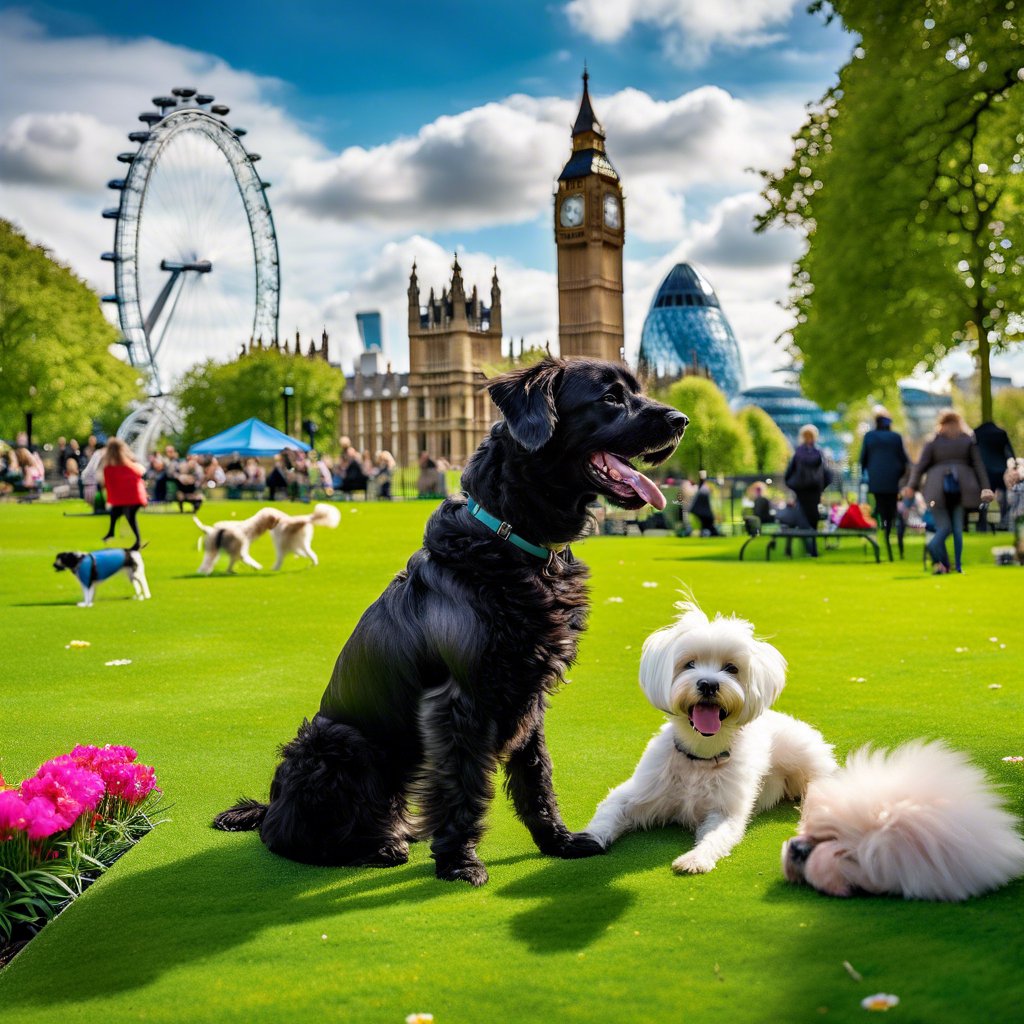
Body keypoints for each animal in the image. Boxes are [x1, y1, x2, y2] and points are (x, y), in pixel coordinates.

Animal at [195, 503, 344, 577]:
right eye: (275, 519)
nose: (280, 519)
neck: (247, 529)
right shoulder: (239, 550)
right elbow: (242, 559)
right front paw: (255, 567)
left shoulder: (237, 551)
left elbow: (235, 561)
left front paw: (232, 571)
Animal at [212, 356, 688, 884]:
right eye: (609, 397)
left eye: (636, 390)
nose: (682, 420)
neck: (512, 542)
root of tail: (271, 804)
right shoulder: (459, 701)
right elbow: (465, 787)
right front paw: (460, 861)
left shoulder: (530, 696)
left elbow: (535, 776)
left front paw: (557, 842)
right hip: (340, 742)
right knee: (286, 836)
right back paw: (379, 846)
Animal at [589, 602, 835, 876]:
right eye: (689, 664)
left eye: (731, 668)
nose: (708, 684)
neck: (700, 757)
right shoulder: (638, 792)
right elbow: (609, 811)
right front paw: (586, 840)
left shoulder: (725, 811)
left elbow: (716, 836)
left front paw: (695, 859)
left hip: (803, 754)